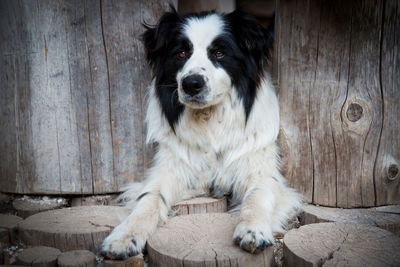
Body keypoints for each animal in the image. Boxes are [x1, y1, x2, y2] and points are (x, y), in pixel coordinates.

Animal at [101, 7, 302, 260]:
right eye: (181, 53)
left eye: (219, 53)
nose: (191, 84)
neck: (209, 119)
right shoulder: (171, 167)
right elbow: (148, 199)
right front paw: (124, 236)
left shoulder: (261, 170)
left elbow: (257, 197)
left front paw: (253, 230)